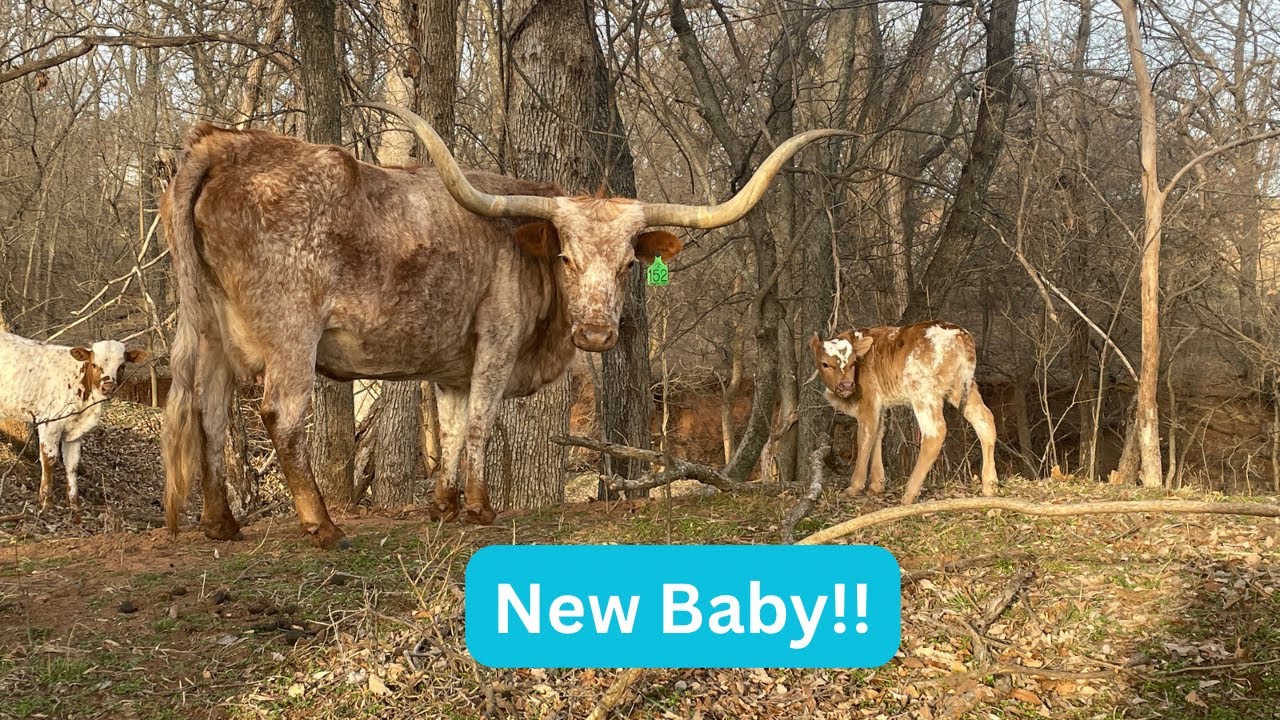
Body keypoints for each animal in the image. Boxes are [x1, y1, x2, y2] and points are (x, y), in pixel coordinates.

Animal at [0, 332, 148, 510]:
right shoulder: (50, 422)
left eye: (122, 366)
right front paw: (46, 501)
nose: (108, 387)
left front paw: (74, 503)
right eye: (94, 365)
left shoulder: (75, 431)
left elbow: (72, 465)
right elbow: (49, 460)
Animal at [160, 102, 851, 548]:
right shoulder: (495, 343)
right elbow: (481, 425)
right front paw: (480, 508)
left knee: (205, 410)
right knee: (279, 412)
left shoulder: (450, 366)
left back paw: (221, 523)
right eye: (566, 257)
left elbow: (449, 426)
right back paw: (321, 525)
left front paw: (442, 507)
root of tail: (226, 144)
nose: (596, 335)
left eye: (629, 262)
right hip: (290, 334)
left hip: (209, 331)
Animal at [810, 321, 998, 505]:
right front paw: (876, 485)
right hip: (961, 387)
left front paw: (854, 487)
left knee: (934, 433)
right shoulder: (881, 405)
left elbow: (865, 437)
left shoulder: (869, 401)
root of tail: (959, 334)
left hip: (923, 392)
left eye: (853, 362)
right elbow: (878, 434)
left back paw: (909, 493)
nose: (847, 385)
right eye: (825, 364)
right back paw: (990, 485)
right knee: (985, 420)